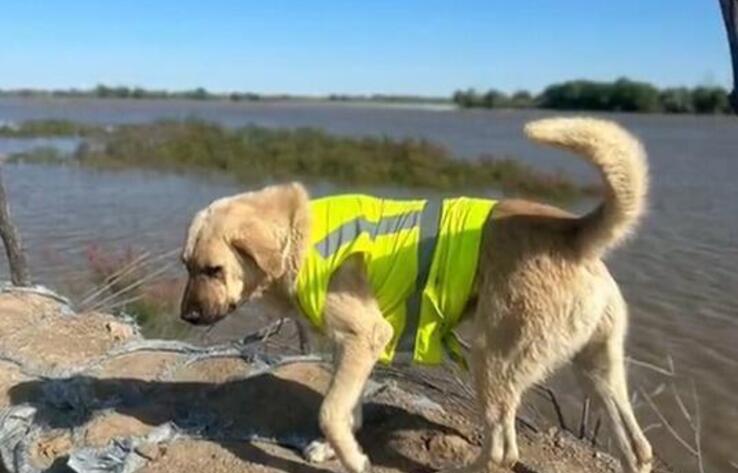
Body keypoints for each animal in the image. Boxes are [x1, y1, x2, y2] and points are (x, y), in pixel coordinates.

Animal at [178, 115, 648, 472]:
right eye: (186, 266)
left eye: (214, 269)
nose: (187, 318)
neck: (298, 234)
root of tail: (575, 233)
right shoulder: (352, 346)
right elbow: (347, 408)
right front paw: (336, 449)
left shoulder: (365, 338)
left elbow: (330, 411)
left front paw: (352, 459)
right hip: (597, 369)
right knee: (637, 448)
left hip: (493, 359)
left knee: (502, 450)